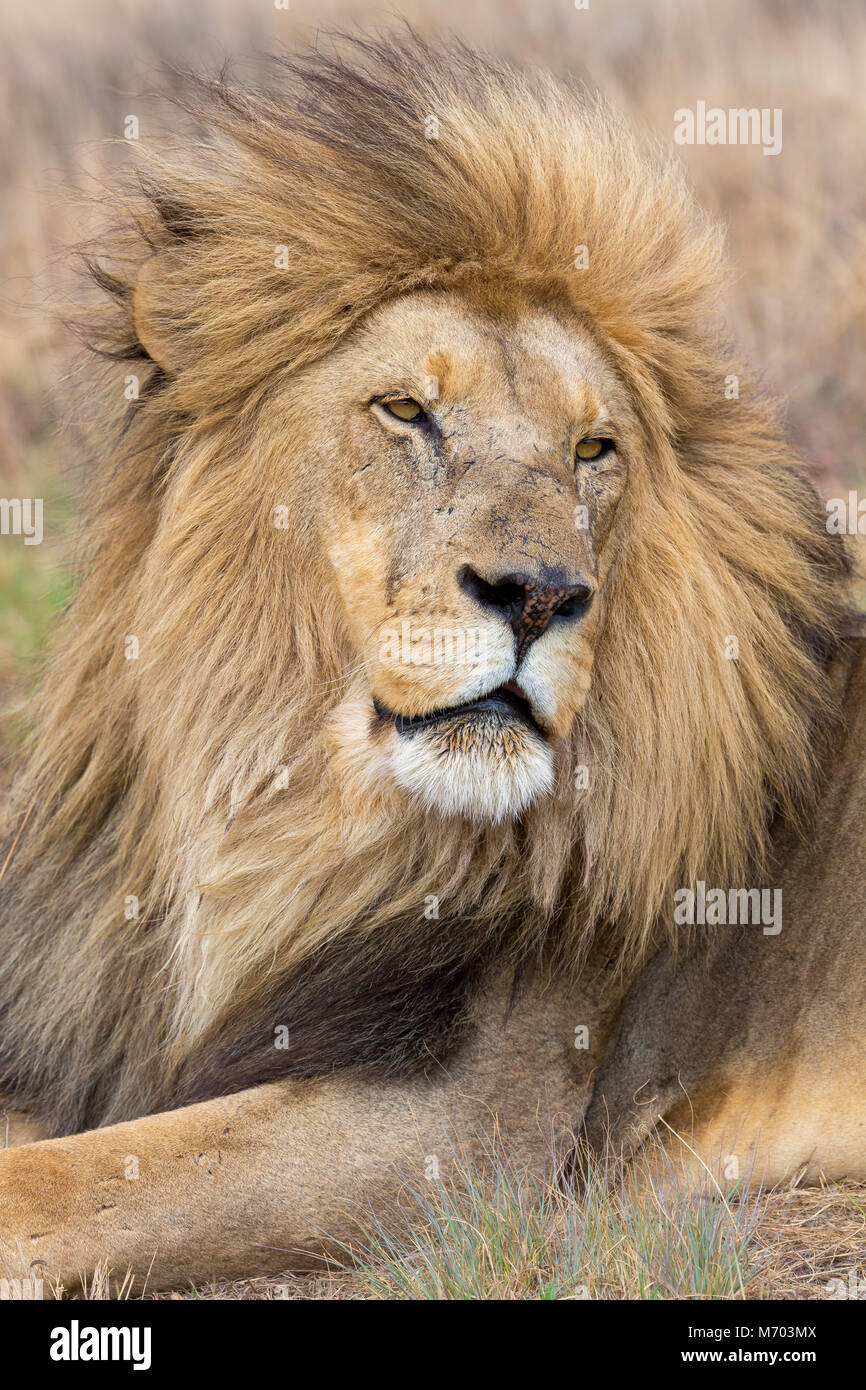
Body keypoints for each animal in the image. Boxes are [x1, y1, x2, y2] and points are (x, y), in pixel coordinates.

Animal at [1, 35, 866, 1289]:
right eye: (406, 410)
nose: (541, 592)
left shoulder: (460, 1129)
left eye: (591, 448)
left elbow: (51, 1185)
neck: (287, 823)